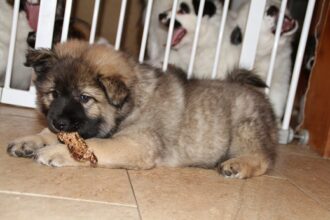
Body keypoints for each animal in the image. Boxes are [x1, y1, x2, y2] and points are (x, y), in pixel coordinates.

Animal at [6, 40, 278, 179]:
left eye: (84, 98)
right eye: (53, 94)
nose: (58, 123)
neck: (131, 103)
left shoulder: (136, 144)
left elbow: (95, 146)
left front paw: (54, 152)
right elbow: (48, 134)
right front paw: (29, 141)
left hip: (245, 129)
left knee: (264, 158)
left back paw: (237, 165)